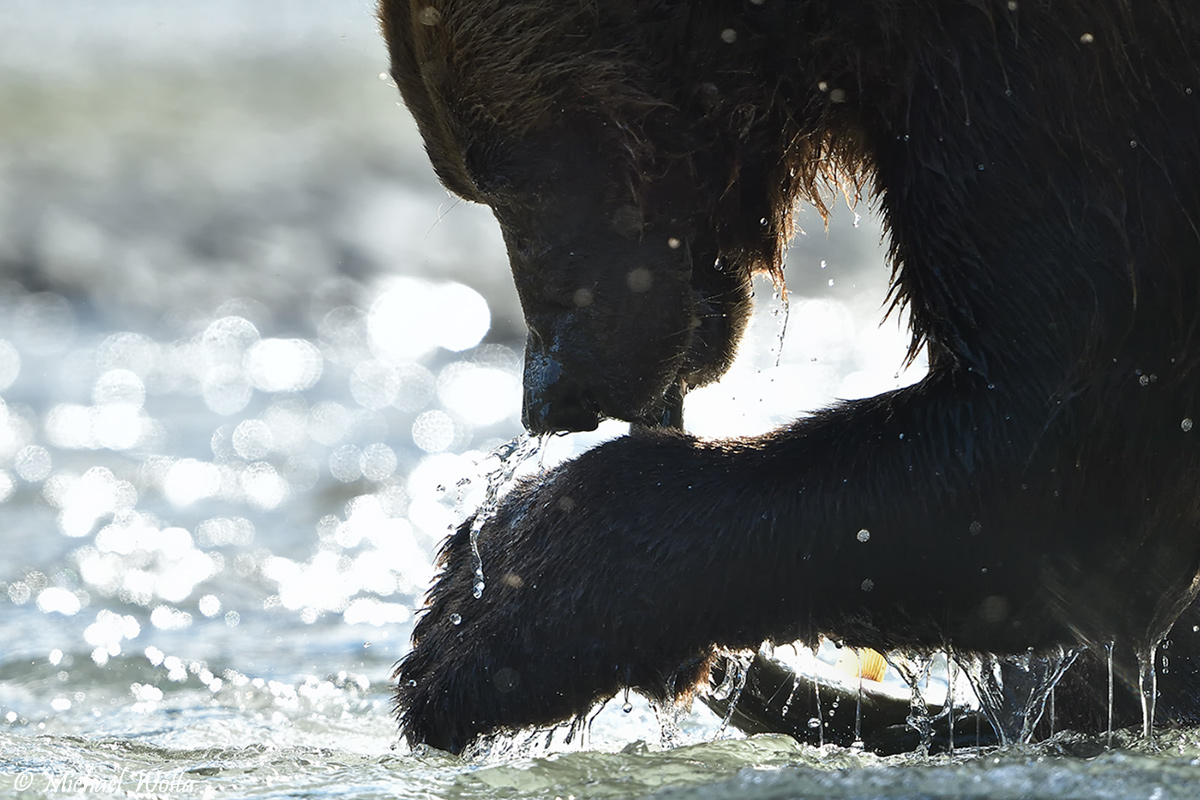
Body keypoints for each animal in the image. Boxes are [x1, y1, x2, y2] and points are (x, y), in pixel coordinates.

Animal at [379, 0, 1200, 753]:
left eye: (501, 177)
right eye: (475, 180)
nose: (549, 394)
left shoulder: (1041, 72)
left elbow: (1058, 438)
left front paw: (490, 611)